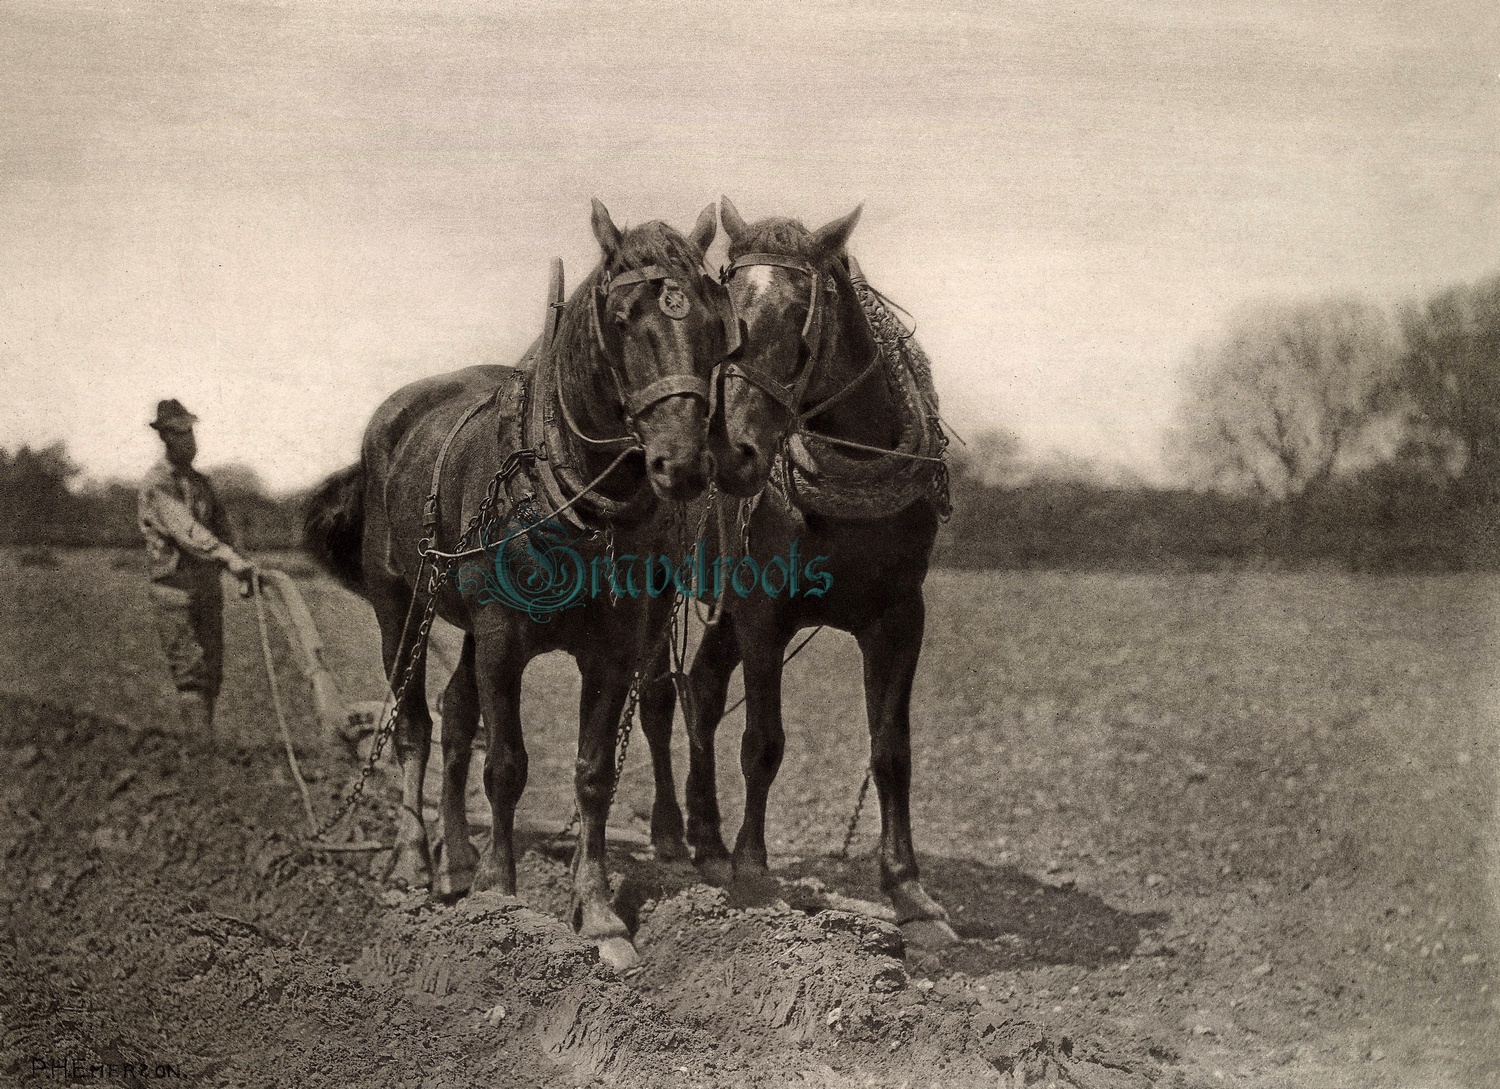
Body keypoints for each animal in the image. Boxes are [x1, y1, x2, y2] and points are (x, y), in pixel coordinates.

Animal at [303, 200, 733, 968]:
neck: (571, 497)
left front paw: (598, 913)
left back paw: (457, 861)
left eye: (716, 320)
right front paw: (502, 897)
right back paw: (414, 861)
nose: (682, 464)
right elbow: (504, 763)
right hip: (400, 606)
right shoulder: (502, 635)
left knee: (454, 714)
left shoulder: (613, 649)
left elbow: (593, 772)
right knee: (414, 724)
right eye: (622, 317)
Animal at [654, 197, 959, 947]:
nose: (726, 453)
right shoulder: (764, 611)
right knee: (655, 696)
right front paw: (754, 871)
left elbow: (891, 749)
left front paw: (910, 892)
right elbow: (763, 742)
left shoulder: (899, 616)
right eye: (721, 316)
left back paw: (706, 839)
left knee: (702, 688)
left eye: (798, 319)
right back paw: (674, 838)